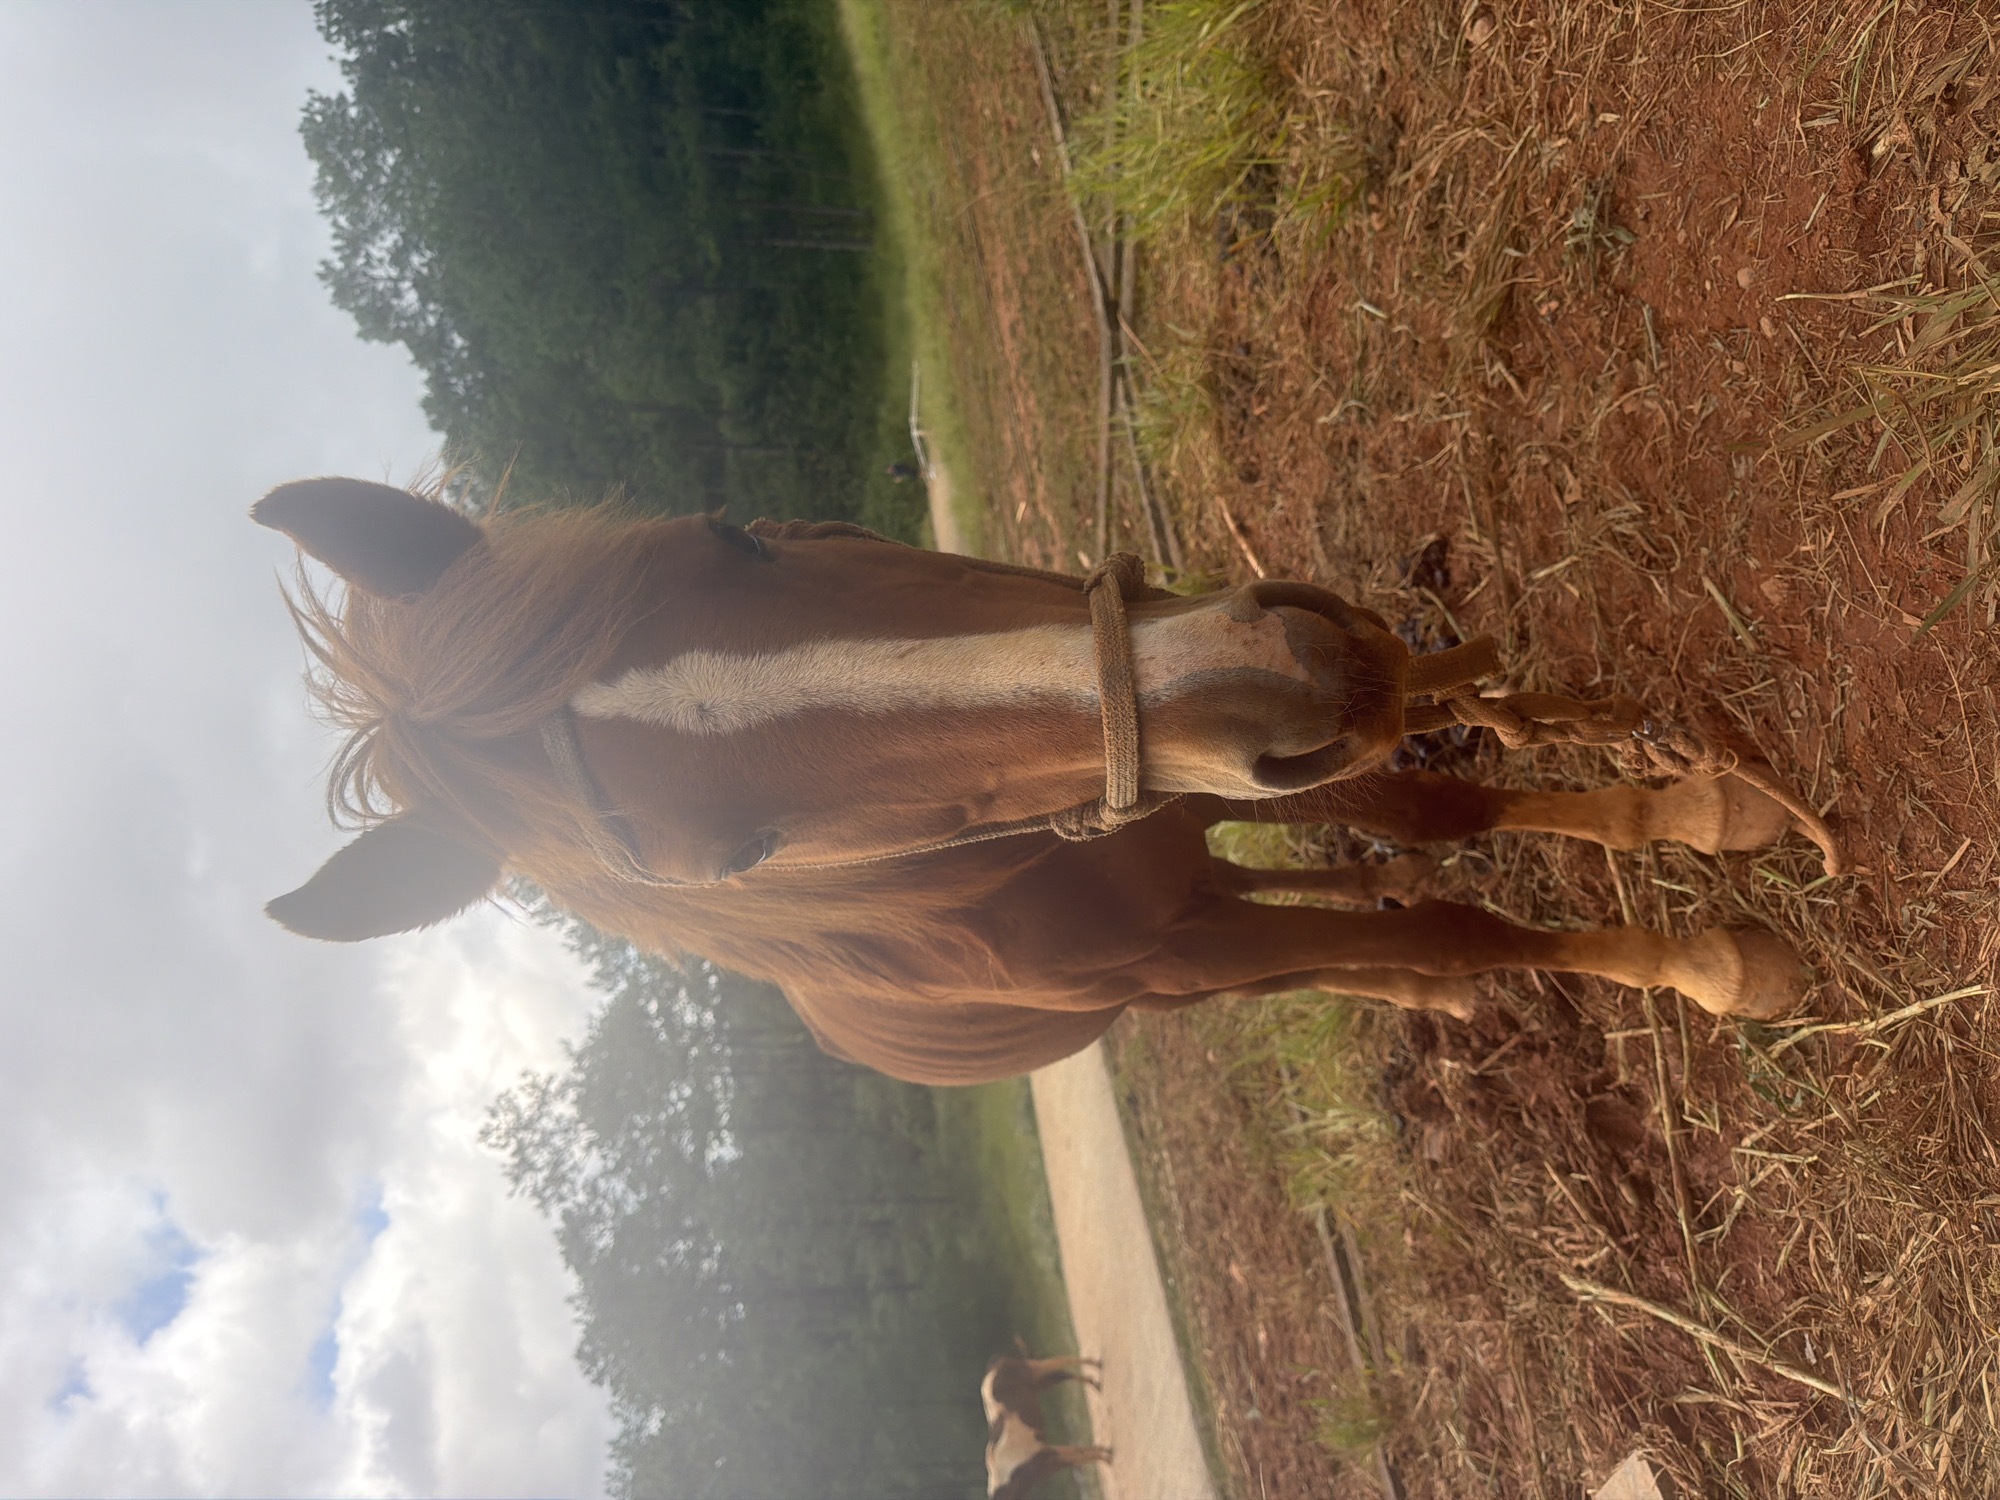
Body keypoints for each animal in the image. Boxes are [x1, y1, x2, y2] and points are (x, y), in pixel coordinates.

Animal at [253, 477, 1831, 1085]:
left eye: (738, 532)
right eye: (737, 861)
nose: (1281, 674)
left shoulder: (1197, 781)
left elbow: (1427, 807)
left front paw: (1696, 815)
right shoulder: (1177, 921)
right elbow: (1451, 923)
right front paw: (1710, 964)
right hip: (1164, 979)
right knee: (1328, 952)